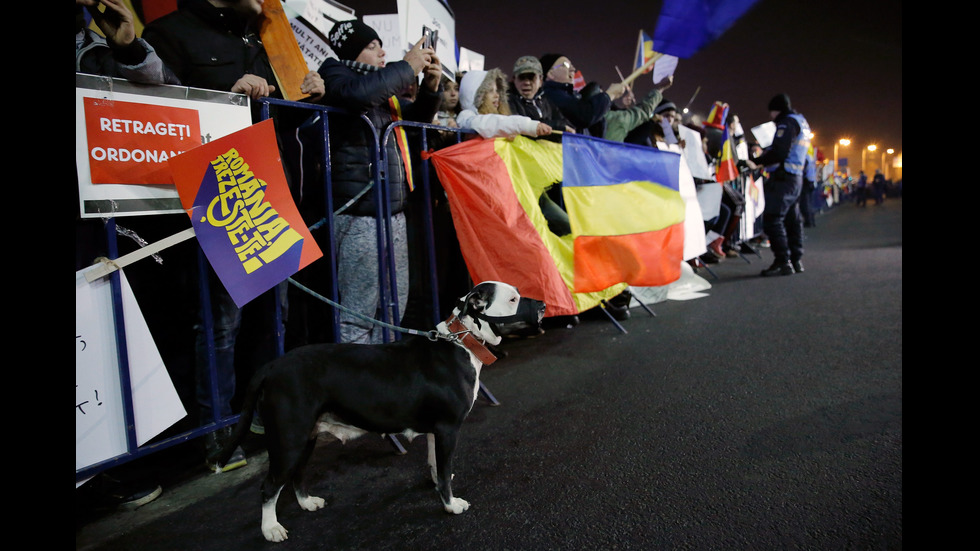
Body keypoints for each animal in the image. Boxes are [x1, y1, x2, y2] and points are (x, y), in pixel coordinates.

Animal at [212, 282, 544, 540]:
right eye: (513, 299)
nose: (541, 305)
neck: (461, 341)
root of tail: (271, 367)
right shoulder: (449, 429)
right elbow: (445, 472)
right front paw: (451, 505)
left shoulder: (436, 431)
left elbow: (436, 465)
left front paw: (437, 484)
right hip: (288, 439)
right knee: (269, 487)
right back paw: (270, 529)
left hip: (305, 437)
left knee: (296, 474)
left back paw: (307, 503)